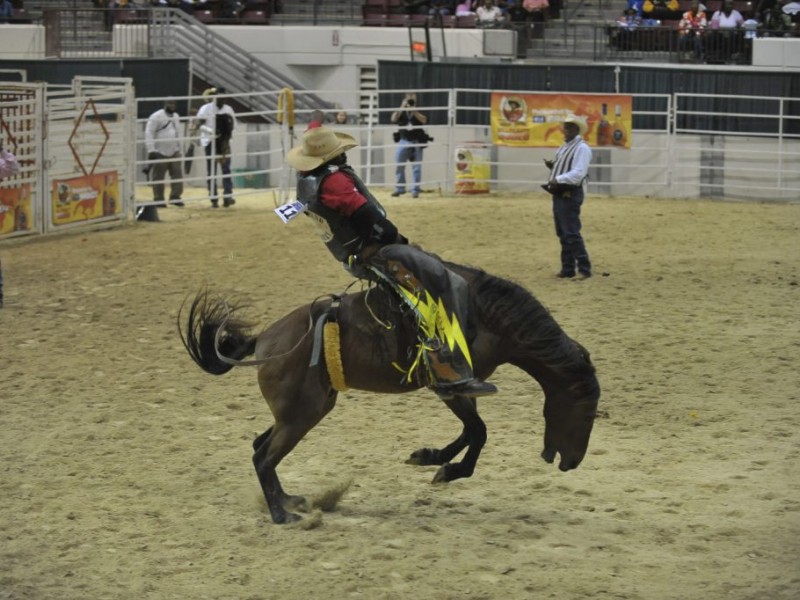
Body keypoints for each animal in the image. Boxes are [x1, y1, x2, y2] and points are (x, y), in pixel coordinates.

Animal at [178, 262, 596, 524]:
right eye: (587, 410)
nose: (573, 463)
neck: (483, 314)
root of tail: (265, 339)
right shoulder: (447, 386)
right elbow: (478, 432)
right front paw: (448, 469)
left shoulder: (462, 386)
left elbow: (471, 431)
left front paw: (430, 458)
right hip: (301, 416)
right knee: (264, 457)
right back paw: (283, 515)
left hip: (304, 410)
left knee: (259, 446)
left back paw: (287, 499)